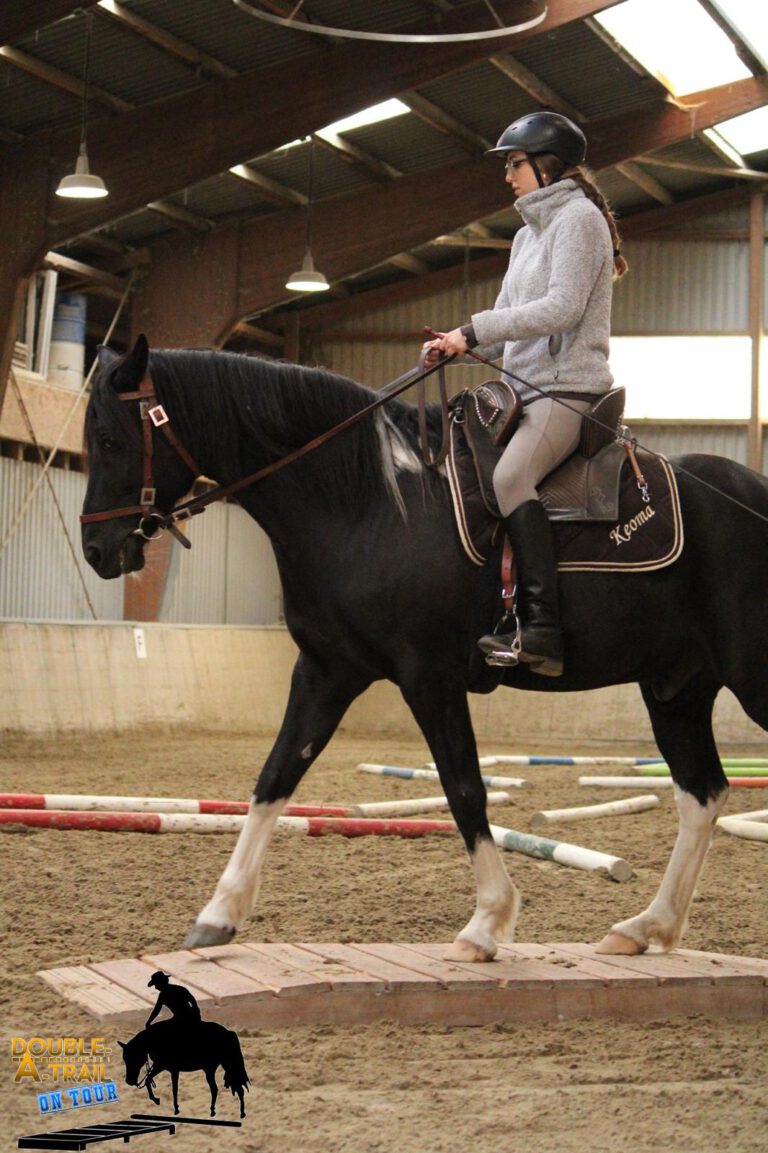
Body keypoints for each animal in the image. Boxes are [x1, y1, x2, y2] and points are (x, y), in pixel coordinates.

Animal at [80, 336, 761, 963]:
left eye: (111, 441)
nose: (96, 552)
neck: (367, 505)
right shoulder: (327, 670)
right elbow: (274, 777)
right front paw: (217, 916)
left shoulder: (428, 677)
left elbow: (464, 788)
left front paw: (487, 923)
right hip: (676, 689)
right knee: (702, 794)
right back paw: (646, 927)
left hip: (747, 678)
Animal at [118, 1019, 246, 1116]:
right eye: (125, 1059)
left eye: (134, 1058)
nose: (129, 1081)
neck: (157, 1040)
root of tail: (228, 1033)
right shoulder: (163, 1067)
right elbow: (149, 1080)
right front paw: (156, 1100)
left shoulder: (169, 1068)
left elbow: (174, 1089)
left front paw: (175, 1109)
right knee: (227, 1088)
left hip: (216, 1068)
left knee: (219, 1089)